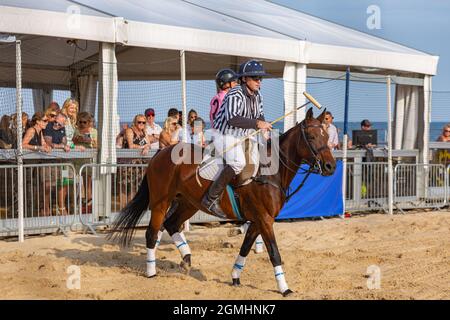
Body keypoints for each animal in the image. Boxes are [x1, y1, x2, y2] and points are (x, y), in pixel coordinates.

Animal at [109, 108, 334, 298]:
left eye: (326, 136)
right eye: (312, 137)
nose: (330, 166)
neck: (271, 173)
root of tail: (160, 153)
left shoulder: (257, 221)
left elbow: (245, 248)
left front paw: (235, 277)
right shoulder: (265, 219)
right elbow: (274, 253)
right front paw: (284, 288)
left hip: (189, 203)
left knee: (171, 224)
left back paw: (186, 258)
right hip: (160, 202)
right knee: (152, 232)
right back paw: (151, 271)